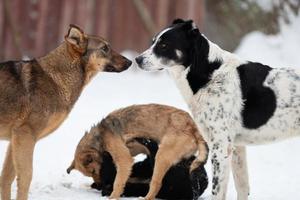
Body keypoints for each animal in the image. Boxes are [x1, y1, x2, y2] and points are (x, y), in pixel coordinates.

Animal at [0, 23, 131, 200]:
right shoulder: (25, 136)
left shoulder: (14, 140)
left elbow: (6, 178)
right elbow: (26, 176)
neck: (56, 79)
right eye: (104, 48)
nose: (131, 61)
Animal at [135, 18, 300, 200]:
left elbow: (217, 191)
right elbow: (242, 187)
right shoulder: (237, 148)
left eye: (164, 45)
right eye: (153, 42)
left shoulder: (220, 147)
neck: (210, 74)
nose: (137, 59)